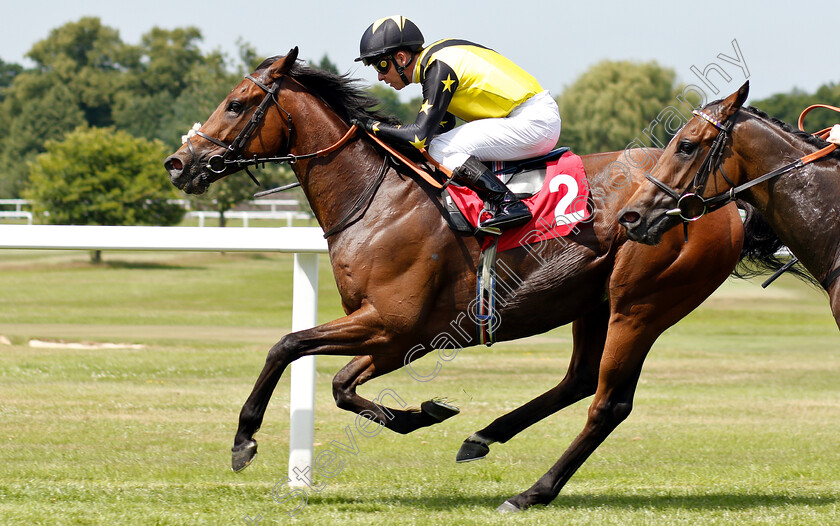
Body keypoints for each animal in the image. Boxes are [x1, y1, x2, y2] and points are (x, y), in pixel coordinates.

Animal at [164, 48, 780, 512]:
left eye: (236, 103)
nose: (178, 163)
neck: (375, 198)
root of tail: (725, 203)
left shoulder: (393, 325)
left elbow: (287, 345)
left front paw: (244, 439)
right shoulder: (394, 335)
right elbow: (340, 385)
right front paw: (421, 415)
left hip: (641, 305)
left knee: (609, 402)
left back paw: (532, 492)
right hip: (593, 303)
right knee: (580, 380)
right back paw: (483, 436)